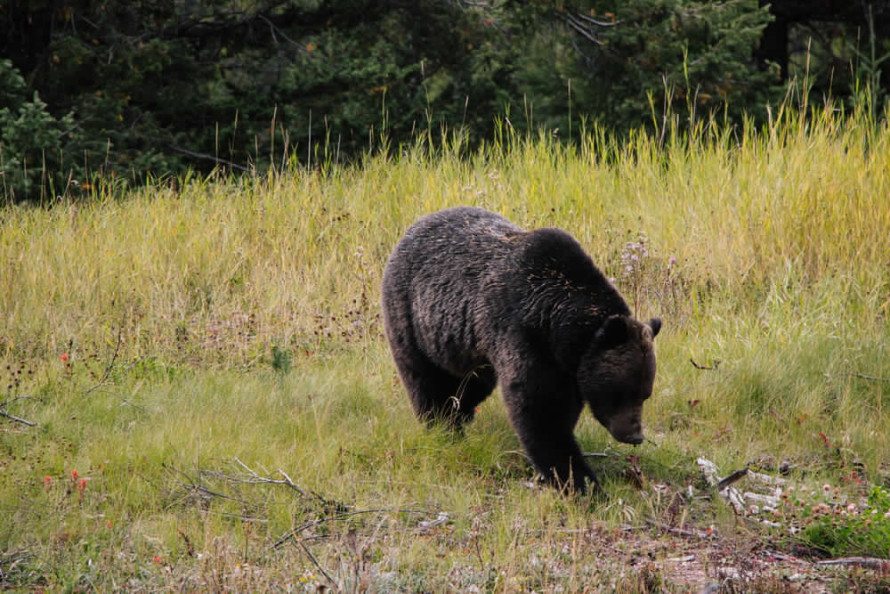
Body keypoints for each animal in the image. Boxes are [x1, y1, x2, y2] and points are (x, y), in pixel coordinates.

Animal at [382, 206, 660, 492]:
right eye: (622, 392)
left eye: (645, 393)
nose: (635, 435)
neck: (557, 324)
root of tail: (414, 225)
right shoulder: (524, 335)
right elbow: (540, 411)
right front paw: (579, 481)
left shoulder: (565, 366)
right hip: (411, 315)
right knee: (422, 378)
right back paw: (442, 424)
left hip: (468, 350)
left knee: (471, 384)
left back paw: (460, 412)